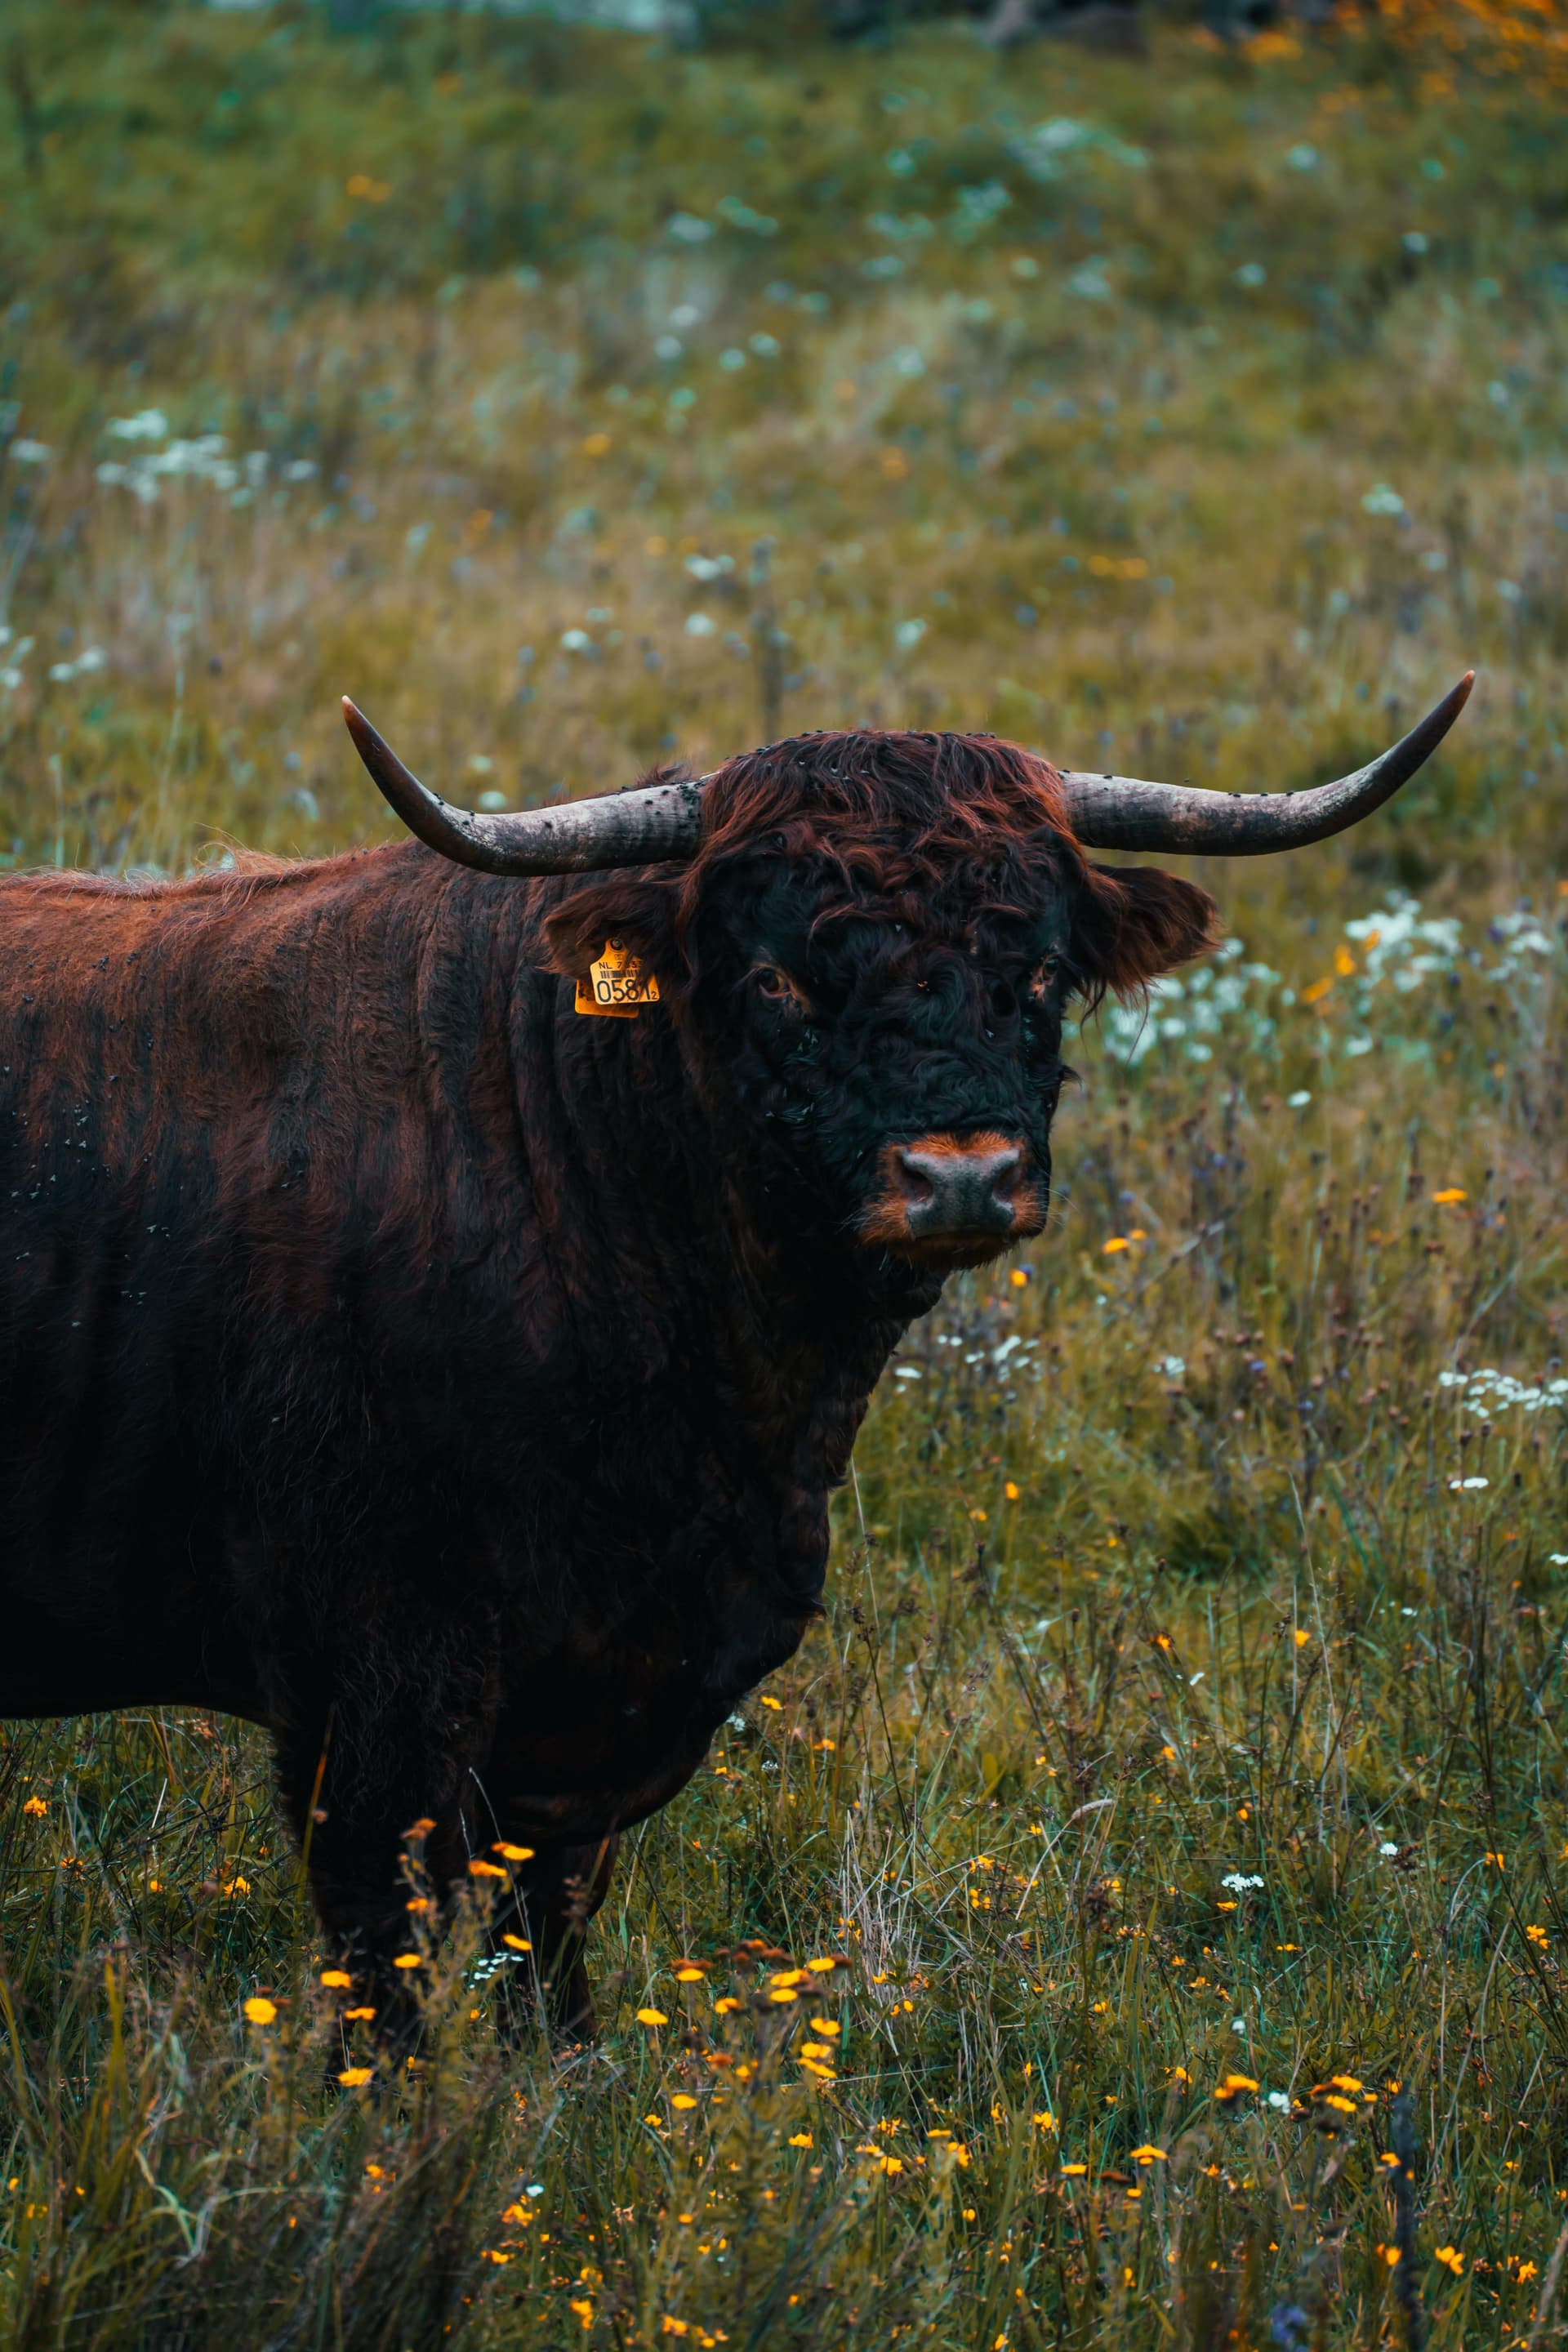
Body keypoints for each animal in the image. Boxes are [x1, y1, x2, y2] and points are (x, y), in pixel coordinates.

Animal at [0, 672, 1472, 2033]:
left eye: (1041, 973)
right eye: (777, 978)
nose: (961, 1177)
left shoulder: (586, 1707)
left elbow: (547, 1948)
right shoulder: (375, 1692)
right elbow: (390, 1981)